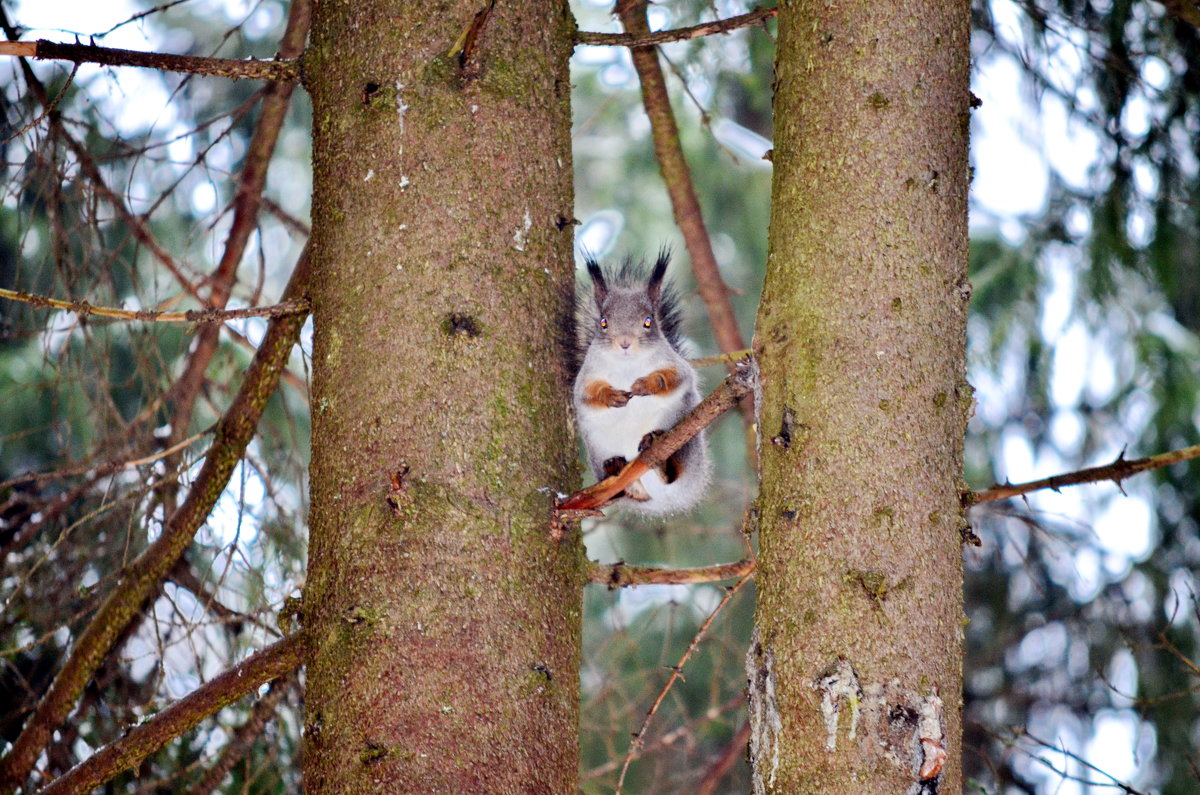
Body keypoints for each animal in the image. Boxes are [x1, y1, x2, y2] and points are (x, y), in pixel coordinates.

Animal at [568, 253, 705, 516]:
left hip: (683, 434)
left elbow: (674, 379)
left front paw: (647, 384)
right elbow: (587, 396)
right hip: (598, 445)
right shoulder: (587, 376)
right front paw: (610, 396)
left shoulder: (675, 365)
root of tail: (664, 499)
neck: (627, 365)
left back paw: (661, 460)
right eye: (603, 322)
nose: (625, 343)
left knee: (674, 474)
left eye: (648, 322)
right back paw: (617, 469)